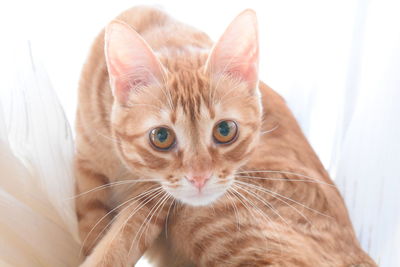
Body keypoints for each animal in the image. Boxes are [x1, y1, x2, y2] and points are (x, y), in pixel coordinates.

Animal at [74, 6, 376, 267]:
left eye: (225, 131)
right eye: (161, 136)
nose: (199, 178)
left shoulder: (152, 199)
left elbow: (121, 241)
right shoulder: (88, 171)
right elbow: (92, 228)